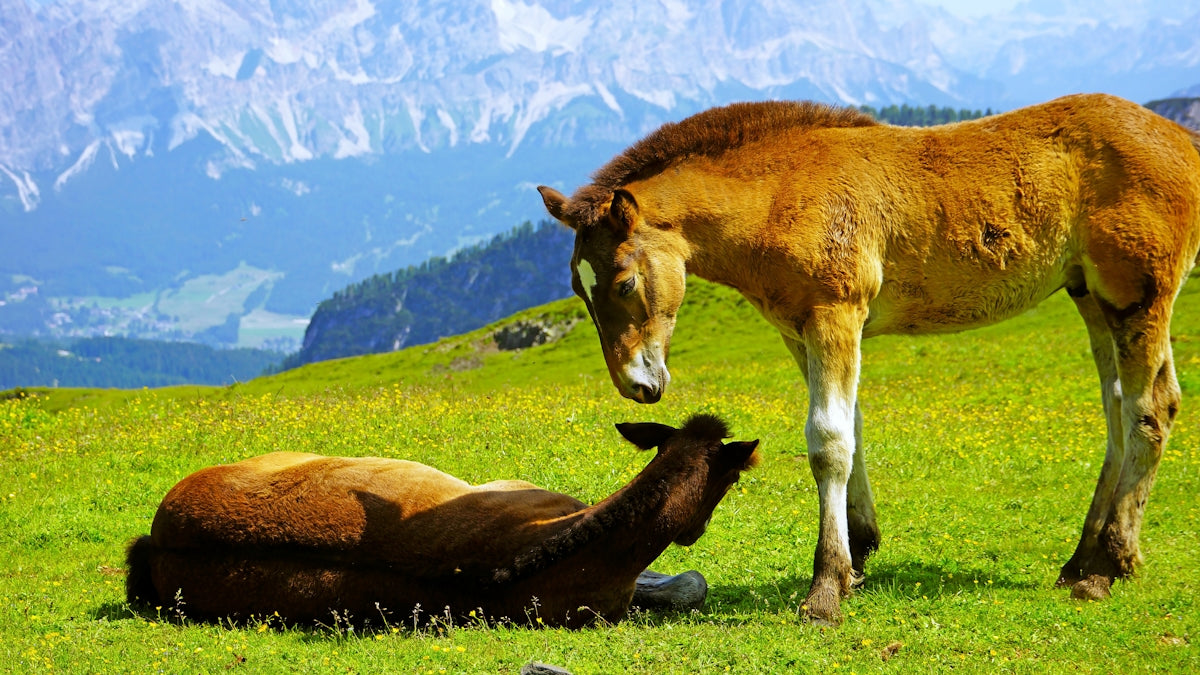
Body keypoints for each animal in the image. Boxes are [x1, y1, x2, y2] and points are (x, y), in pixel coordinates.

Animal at [538, 93, 1200, 625]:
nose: (637, 384)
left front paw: (826, 589)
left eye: (624, 282)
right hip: (1090, 296)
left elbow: (828, 440)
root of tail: (1181, 140)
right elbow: (848, 428)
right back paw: (1081, 559)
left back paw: (1106, 568)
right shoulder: (800, 331)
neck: (779, 193)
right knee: (1119, 412)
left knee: (1151, 409)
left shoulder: (836, 313)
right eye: (577, 288)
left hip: (1137, 295)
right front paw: (859, 553)